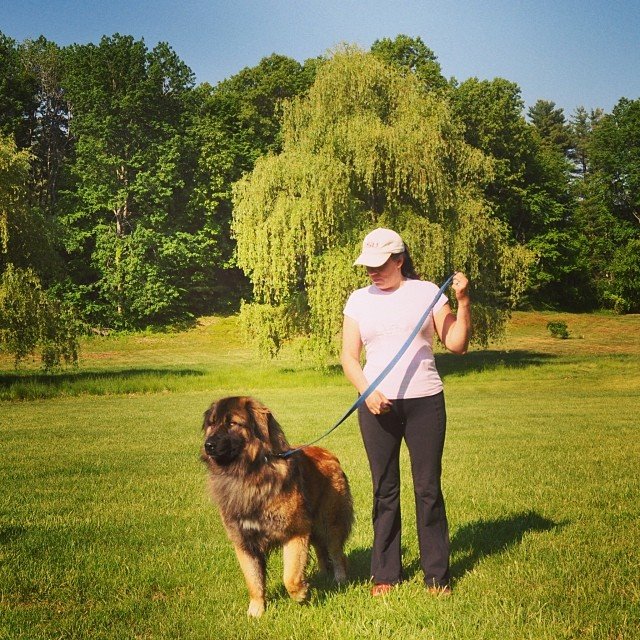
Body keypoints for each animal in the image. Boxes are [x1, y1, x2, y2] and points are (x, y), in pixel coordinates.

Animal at [201, 396, 356, 616]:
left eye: (232, 423)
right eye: (212, 423)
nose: (208, 445)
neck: (249, 475)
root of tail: (330, 454)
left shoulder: (295, 532)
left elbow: (289, 576)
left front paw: (301, 594)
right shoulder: (244, 542)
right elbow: (254, 581)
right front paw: (256, 611)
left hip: (329, 524)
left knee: (336, 553)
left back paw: (339, 579)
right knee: (321, 549)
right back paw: (322, 575)